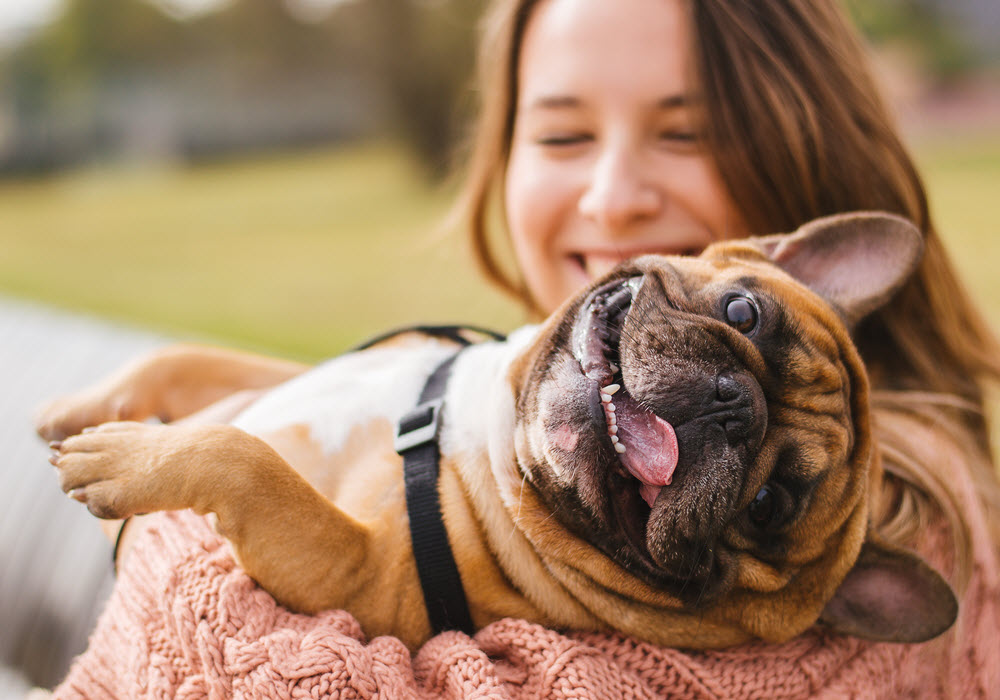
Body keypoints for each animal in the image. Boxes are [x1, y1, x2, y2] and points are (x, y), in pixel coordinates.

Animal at [37, 209, 960, 652]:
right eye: (743, 313)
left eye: (769, 504)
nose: (734, 404)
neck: (480, 428)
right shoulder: (283, 378)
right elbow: (190, 361)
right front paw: (85, 407)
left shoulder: (352, 573)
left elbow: (247, 460)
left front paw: (122, 458)